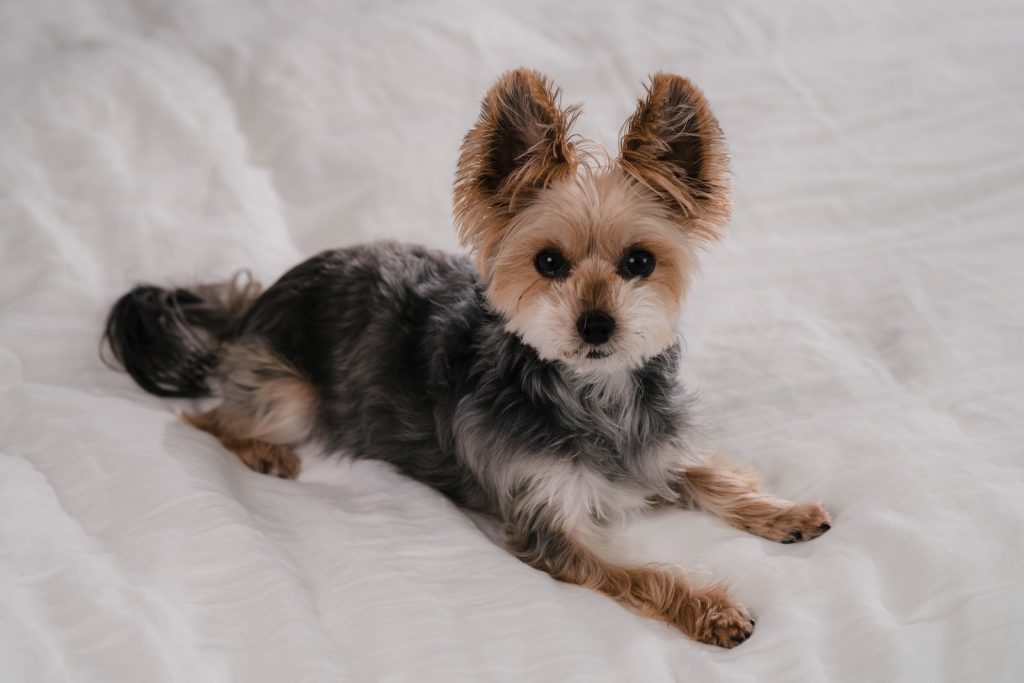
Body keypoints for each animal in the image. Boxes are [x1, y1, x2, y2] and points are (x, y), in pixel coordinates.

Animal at [101, 68, 831, 647]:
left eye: (640, 263)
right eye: (548, 262)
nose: (597, 324)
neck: (594, 392)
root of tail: (261, 294)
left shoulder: (655, 449)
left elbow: (713, 475)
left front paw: (785, 513)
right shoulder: (547, 526)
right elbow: (643, 572)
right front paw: (712, 608)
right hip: (290, 393)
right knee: (211, 419)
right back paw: (264, 450)